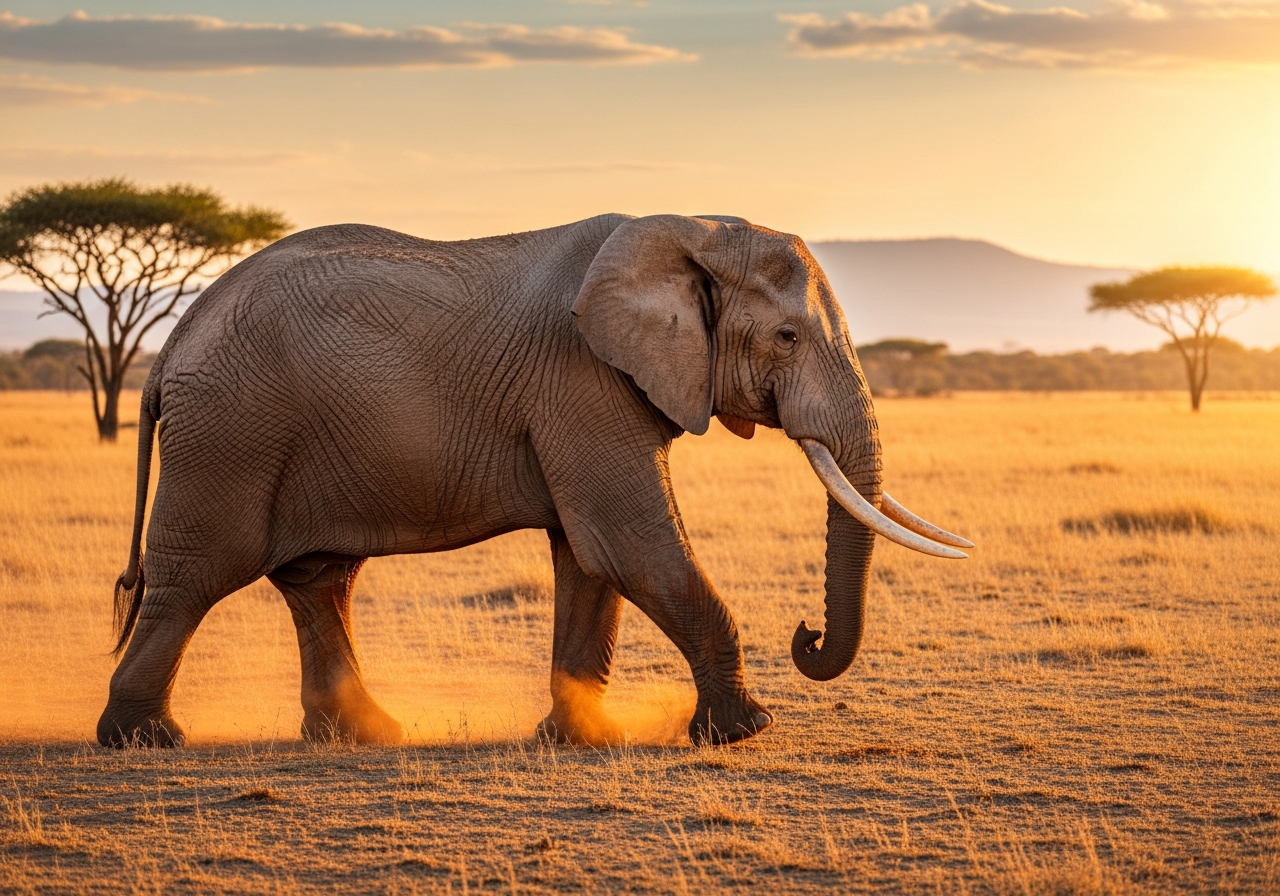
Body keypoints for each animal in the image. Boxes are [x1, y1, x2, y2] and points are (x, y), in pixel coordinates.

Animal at [97, 213, 972, 749]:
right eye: (787, 338)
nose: (807, 633)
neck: (691, 229)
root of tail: (170, 349)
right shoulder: (582, 379)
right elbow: (630, 543)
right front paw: (745, 731)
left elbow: (588, 560)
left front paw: (581, 738)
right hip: (230, 432)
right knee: (195, 578)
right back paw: (145, 740)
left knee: (320, 581)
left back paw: (365, 735)